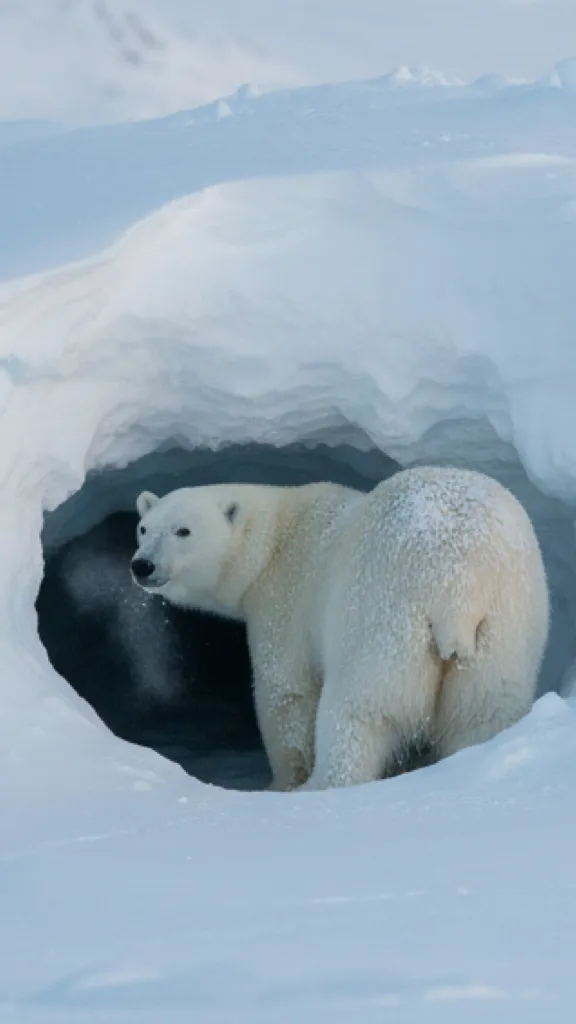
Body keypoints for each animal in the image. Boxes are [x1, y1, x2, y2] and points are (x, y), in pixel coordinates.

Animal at [131, 466, 550, 791]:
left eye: (183, 531)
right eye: (143, 528)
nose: (142, 565)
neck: (274, 540)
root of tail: (457, 582)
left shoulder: (286, 602)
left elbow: (287, 692)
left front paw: (284, 781)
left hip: (382, 614)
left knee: (359, 710)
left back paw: (324, 784)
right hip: (506, 618)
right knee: (485, 710)